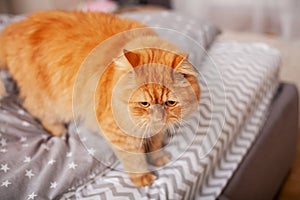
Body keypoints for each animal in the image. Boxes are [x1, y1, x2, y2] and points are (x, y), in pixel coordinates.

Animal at [1, 10, 202, 186]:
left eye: (170, 103)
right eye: (144, 103)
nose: (159, 118)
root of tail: (17, 26)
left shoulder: (155, 131)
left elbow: (155, 145)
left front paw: (158, 158)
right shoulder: (119, 134)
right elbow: (135, 160)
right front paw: (143, 178)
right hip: (47, 101)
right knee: (40, 113)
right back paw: (58, 130)